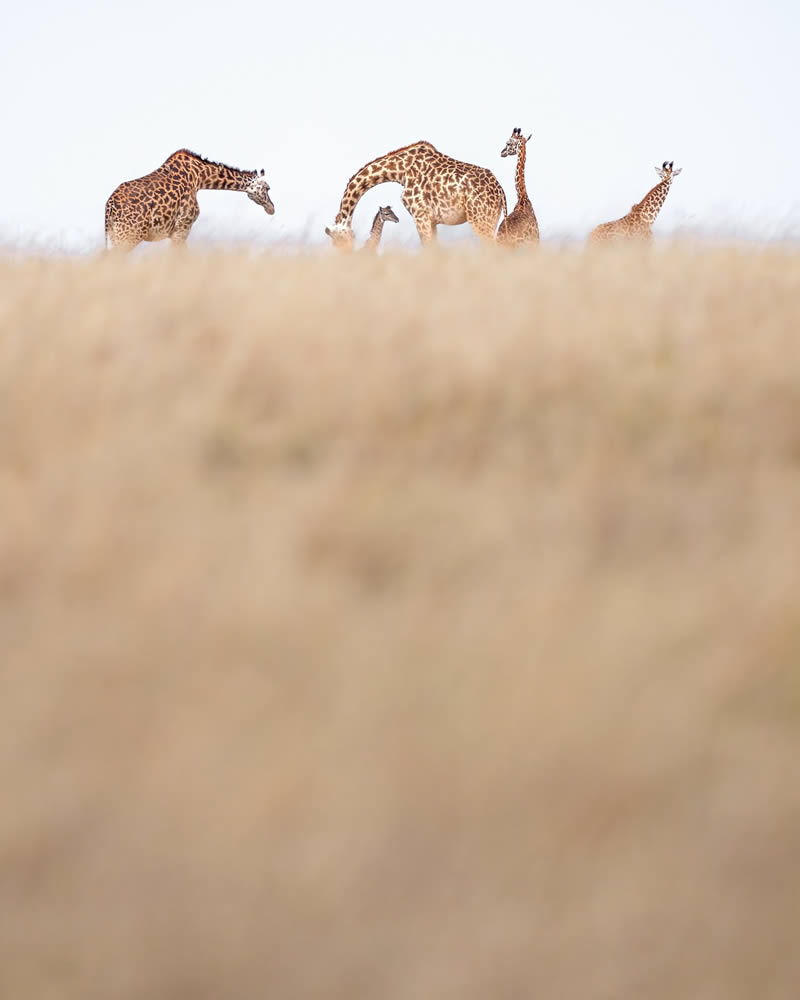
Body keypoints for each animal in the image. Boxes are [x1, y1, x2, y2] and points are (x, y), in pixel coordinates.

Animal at [104, 148, 274, 252]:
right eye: (268, 188)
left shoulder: (177, 232)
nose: (272, 208)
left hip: (116, 235)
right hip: (127, 236)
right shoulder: (182, 227)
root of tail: (109, 207)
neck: (200, 177)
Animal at [322, 141, 504, 250]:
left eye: (340, 240)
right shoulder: (431, 220)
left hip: (480, 219)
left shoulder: (420, 216)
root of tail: (500, 191)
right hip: (491, 219)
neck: (400, 171)